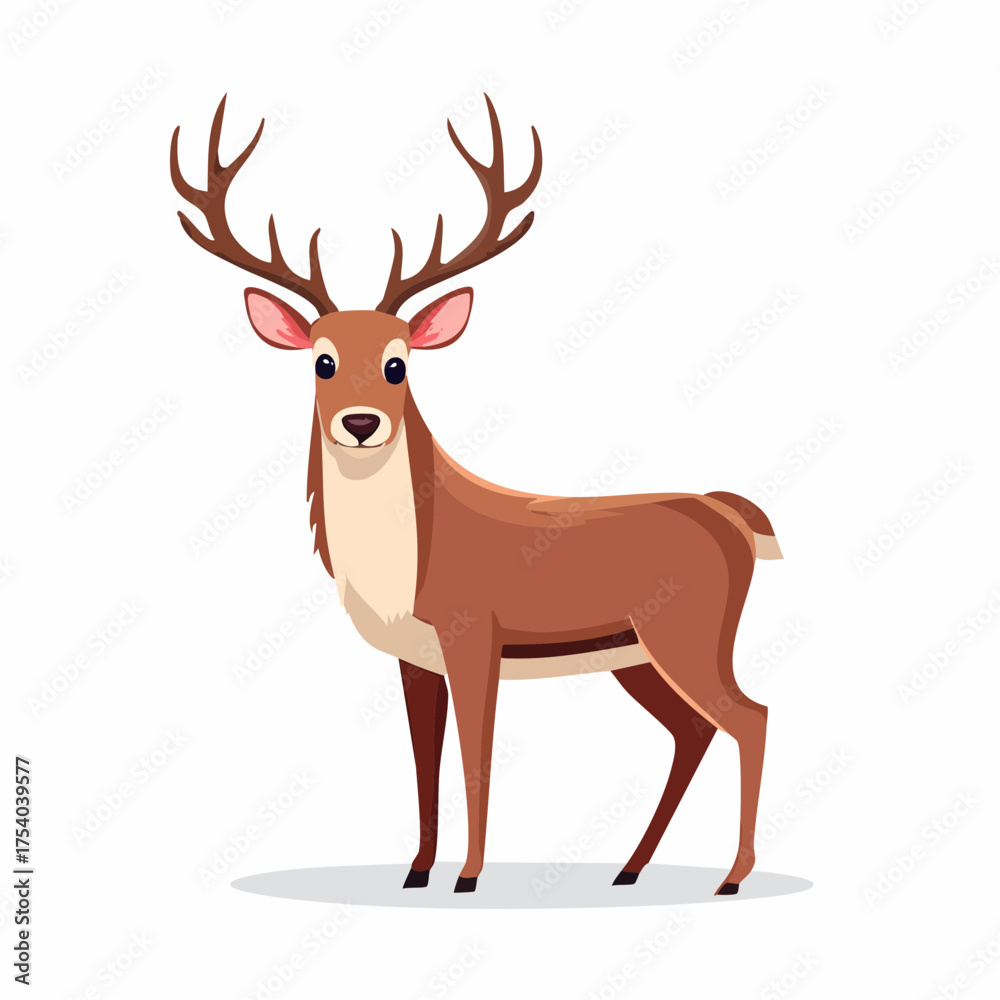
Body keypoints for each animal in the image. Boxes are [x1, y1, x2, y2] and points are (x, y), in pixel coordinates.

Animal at [170, 94, 783, 897]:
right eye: (322, 360)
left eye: (398, 363)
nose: (360, 423)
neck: (407, 567)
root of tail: (731, 514)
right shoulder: (415, 658)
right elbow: (422, 762)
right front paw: (416, 870)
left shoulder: (474, 634)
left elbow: (474, 757)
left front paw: (467, 877)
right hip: (639, 655)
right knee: (694, 730)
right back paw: (630, 868)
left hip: (690, 634)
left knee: (751, 715)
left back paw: (732, 877)